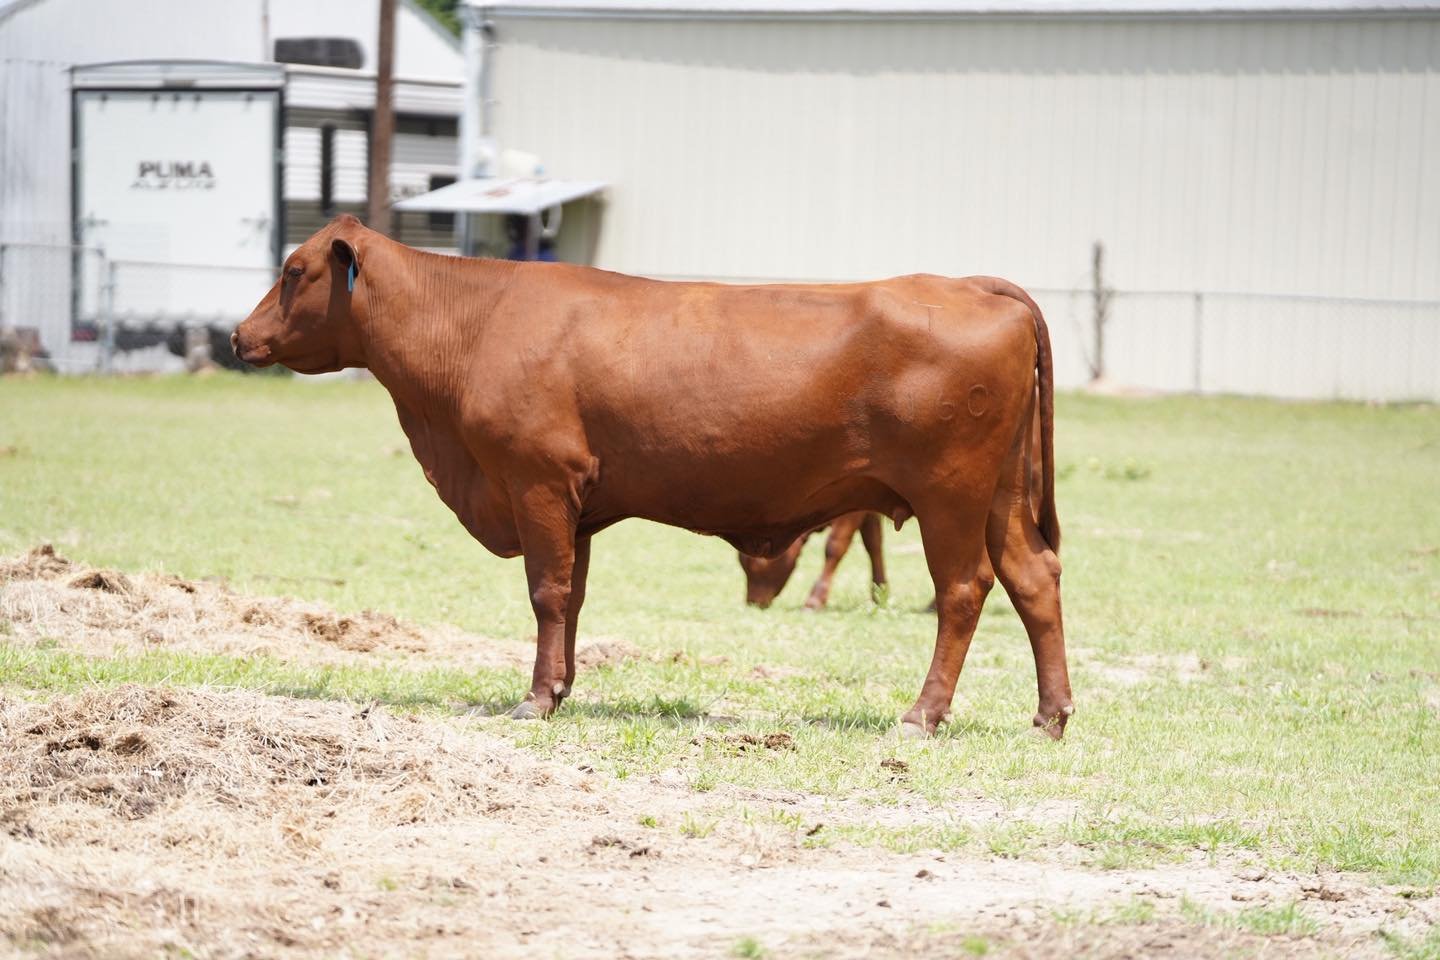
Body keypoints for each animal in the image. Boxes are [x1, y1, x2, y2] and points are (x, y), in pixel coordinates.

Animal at [738, 512, 887, 610]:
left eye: (758, 562)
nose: (752, 602)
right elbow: (873, 541)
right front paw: (880, 593)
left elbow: (834, 546)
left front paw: (814, 601)